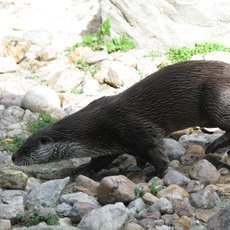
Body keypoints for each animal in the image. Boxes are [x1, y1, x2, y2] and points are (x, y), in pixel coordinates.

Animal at [11, 60, 230, 176]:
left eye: (26, 149)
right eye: (22, 145)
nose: (13, 157)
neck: (95, 130)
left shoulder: (135, 128)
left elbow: (156, 153)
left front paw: (157, 173)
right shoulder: (112, 144)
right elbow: (100, 161)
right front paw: (82, 168)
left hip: (215, 100)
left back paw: (215, 145)